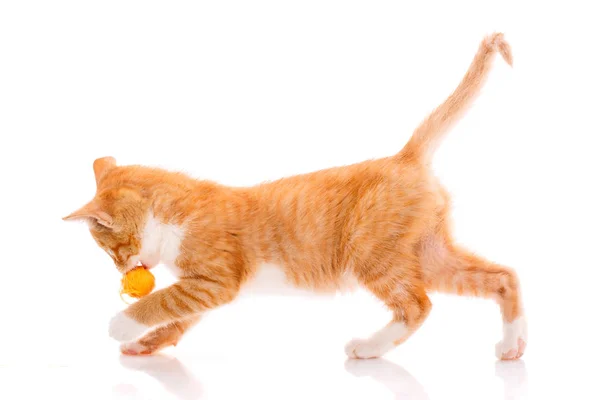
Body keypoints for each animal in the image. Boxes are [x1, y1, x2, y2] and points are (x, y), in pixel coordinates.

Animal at [64, 32, 524, 360]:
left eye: (112, 250)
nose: (123, 270)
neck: (175, 213)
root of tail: (403, 157)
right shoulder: (206, 290)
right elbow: (179, 317)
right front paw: (145, 344)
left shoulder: (215, 279)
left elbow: (164, 301)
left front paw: (123, 324)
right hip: (428, 253)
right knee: (502, 277)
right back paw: (512, 346)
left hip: (371, 254)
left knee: (417, 305)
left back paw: (369, 348)